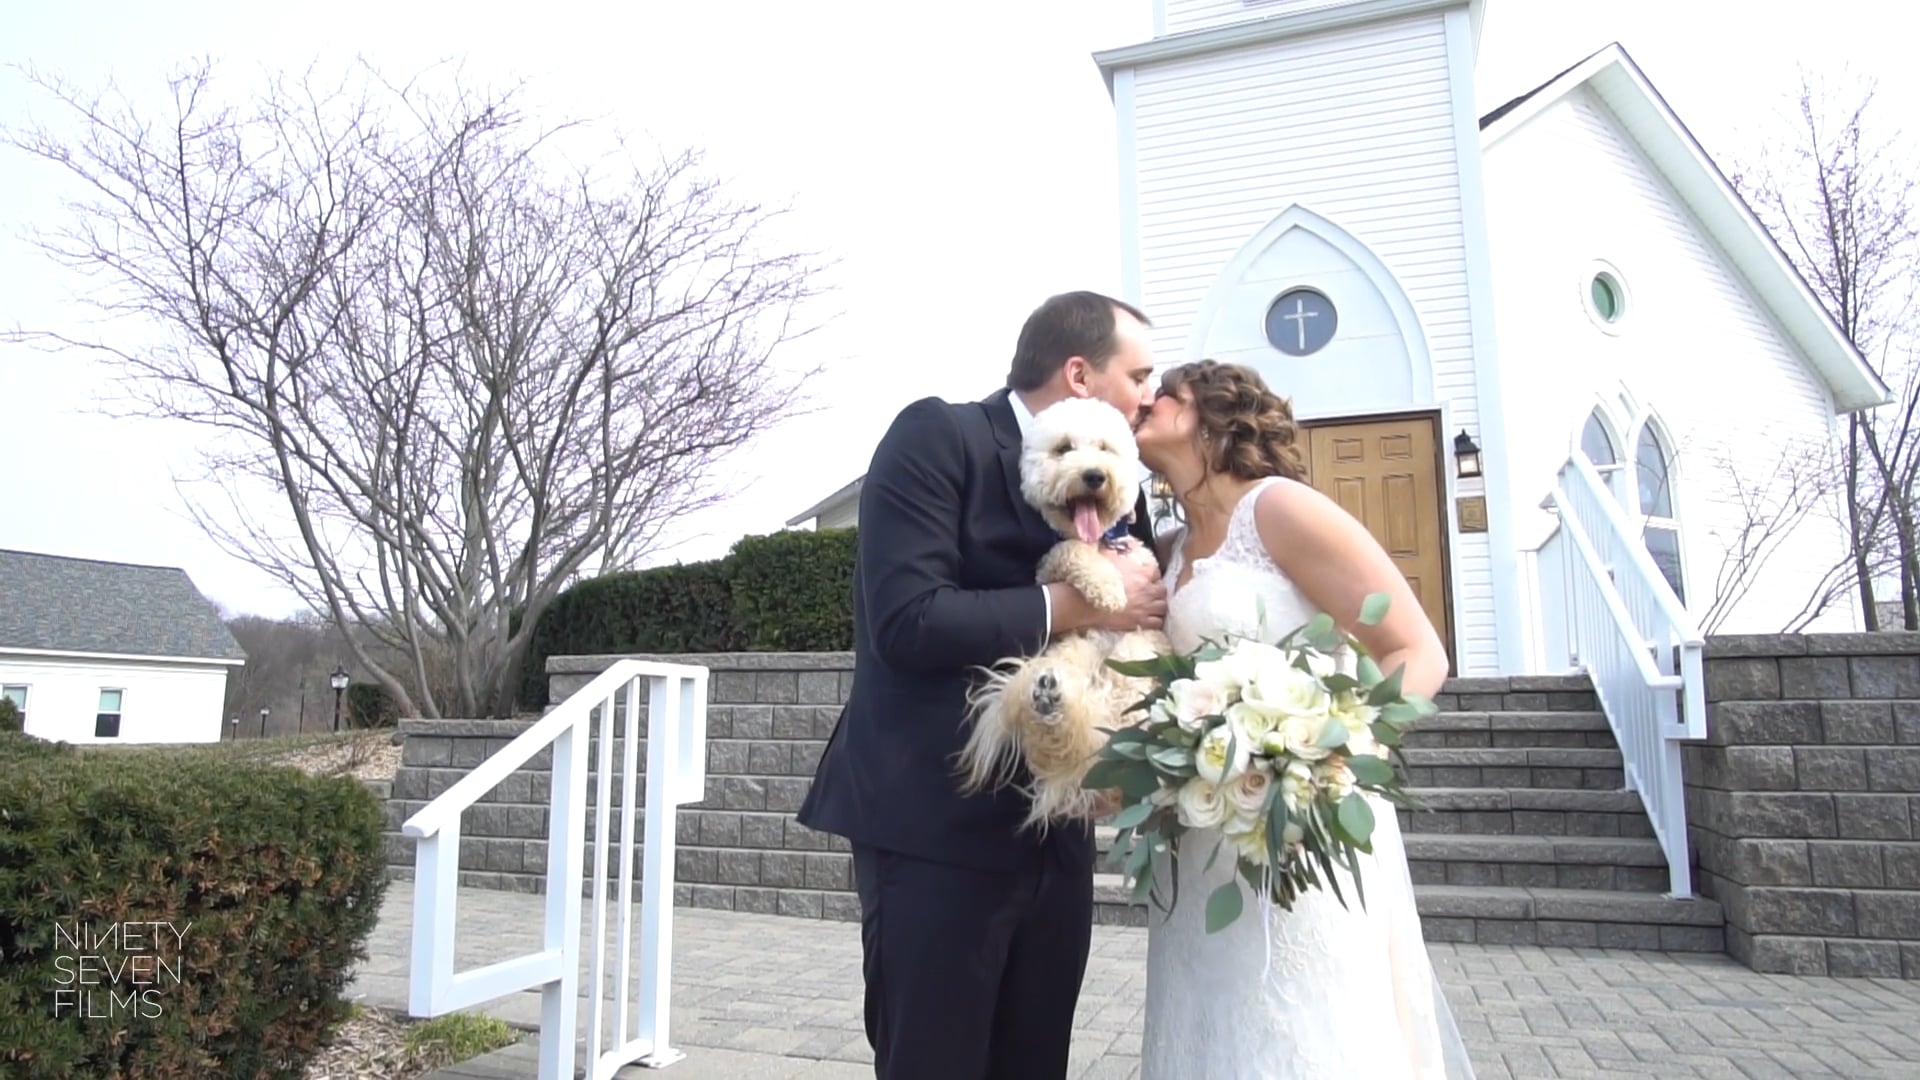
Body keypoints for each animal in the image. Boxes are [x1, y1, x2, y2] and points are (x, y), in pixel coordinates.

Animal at [956, 399, 1167, 826]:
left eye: (1104, 448)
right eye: (1063, 449)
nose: (1094, 476)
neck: (1102, 541)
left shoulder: (1150, 613)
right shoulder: (1050, 566)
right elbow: (1069, 551)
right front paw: (1107, 587)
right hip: (1075, 647)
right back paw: (1050, 696)